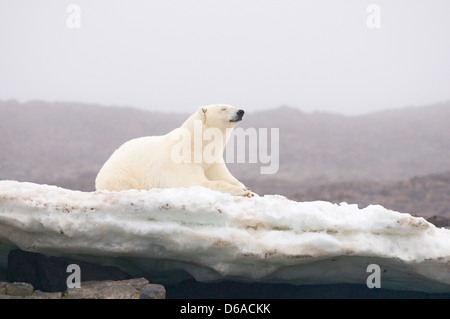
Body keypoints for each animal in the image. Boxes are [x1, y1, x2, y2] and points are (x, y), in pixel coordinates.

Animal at [95, 105, 253, 198]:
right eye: (223, 108)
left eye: (231, 105)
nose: (240, 111)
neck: (197, 142)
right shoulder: (182, 156)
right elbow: (196, 181)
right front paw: (242, 192)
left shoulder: (212, 159)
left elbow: (224, 175)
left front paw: (245, 188)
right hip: (119, 176)